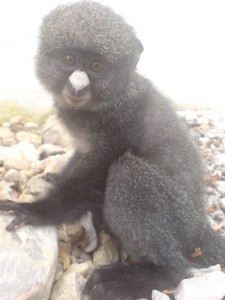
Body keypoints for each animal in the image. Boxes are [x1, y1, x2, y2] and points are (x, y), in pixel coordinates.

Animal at [0, 1, 225, 298]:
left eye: (97, 66)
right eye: (69, 60)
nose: (77, 85)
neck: (105, 102)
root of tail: (201, 230)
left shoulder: (121, 124)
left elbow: (97, 173)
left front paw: (39, 211)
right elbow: (81, 157)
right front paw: (56, 176)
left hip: (181, 219)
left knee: (126, 173)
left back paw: (152, 275)